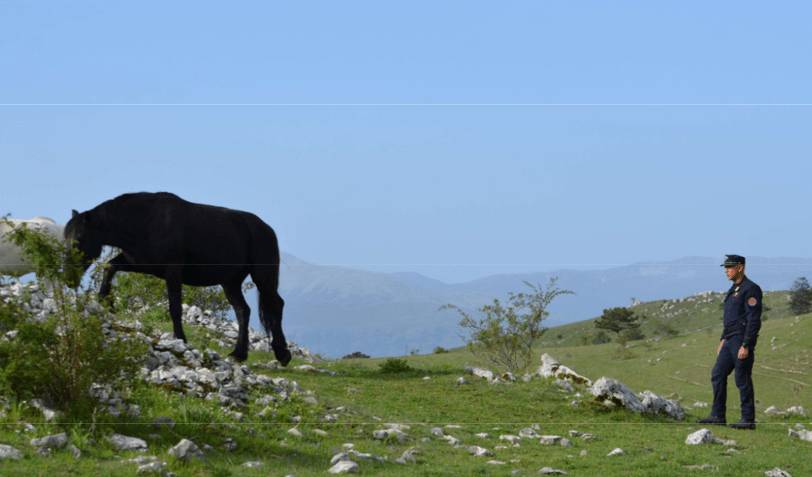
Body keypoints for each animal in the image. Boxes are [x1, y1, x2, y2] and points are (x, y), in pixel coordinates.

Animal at [63, 192, 291, 365]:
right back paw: (238, 354)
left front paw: (180, 339)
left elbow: (175, 307)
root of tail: (266, 229)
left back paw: (282, 354)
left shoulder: (173, 271)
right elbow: (110, 267)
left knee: (275, 305)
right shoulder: (138, 263)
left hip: (263, 277)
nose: (69, 279)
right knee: (243, 311)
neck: (145, 221)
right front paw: (106, 301)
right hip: (230, 282)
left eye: (79, 239)